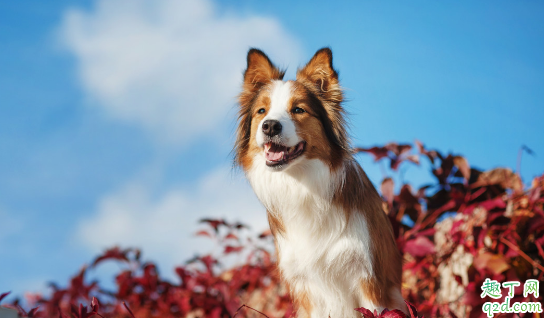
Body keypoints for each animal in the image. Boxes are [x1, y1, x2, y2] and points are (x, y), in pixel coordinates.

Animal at [232, 47, 406, 318]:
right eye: (261, 111)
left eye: (298, 110)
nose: (270, 126)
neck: (302, 184)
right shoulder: (305, 288)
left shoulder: (370, 278)